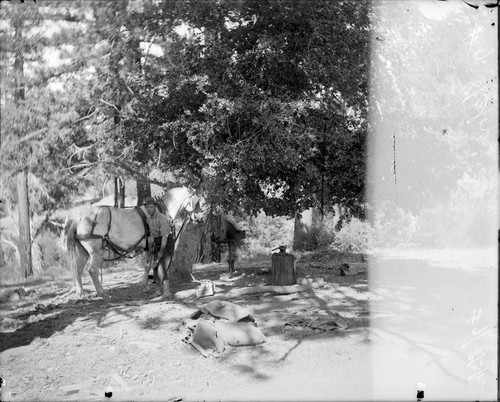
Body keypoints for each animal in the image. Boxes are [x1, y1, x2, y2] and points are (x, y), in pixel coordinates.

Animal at [66, 186, 203, 298]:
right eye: (197, 202)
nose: (199, 218)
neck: (159, 210)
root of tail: (81, 217)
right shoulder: (154, 246)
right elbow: (152, 266)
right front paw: (148, 285)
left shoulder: (148, 247)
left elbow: (148, 266)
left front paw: (145, 285)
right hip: (96, 252)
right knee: (92, 270)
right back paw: (102, 292)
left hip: (83, 252)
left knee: (78, 269)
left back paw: (80, 292)